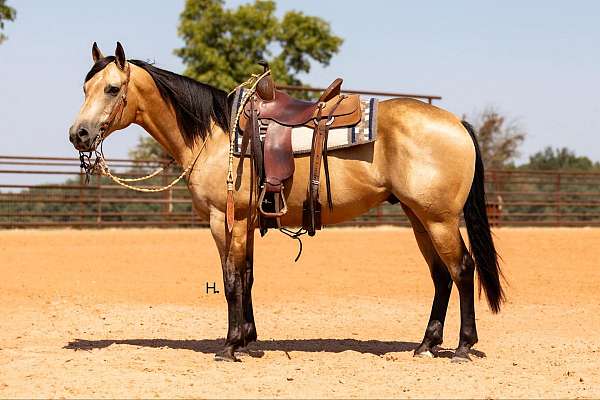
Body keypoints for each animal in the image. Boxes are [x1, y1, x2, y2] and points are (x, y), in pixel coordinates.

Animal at [68, 43, 504, 362]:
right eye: (84, 89)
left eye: (111, 88)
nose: (79, 134)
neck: (217, 136)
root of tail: (456, 123)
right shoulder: (246, 223)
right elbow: (247, 277)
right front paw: (249, 341)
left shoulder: (224, 220)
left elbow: (231, 279)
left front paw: (230, 346)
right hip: (419, 217)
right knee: (441, 275)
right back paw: (426, 345)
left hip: (439, 219)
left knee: (462, 269)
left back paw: (462, 346)